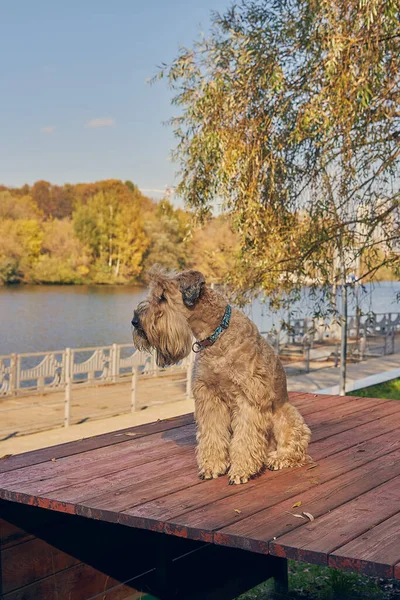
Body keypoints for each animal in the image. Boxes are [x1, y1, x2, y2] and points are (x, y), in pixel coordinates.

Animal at [133, 268, 310, 482]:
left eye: (163, 297)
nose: (135, 322)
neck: (217, 334)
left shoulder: (248, 398)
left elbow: (245, 438)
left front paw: (241, 470)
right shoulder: (209, 396)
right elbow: (212, 434)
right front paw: (212, 466)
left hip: (286, 416)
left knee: (296, 448)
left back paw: (278, 459)